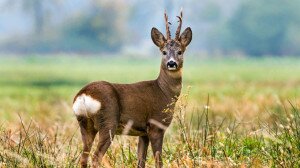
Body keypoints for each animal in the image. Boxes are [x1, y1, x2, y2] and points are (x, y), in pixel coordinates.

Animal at [73, 10, 192, 168]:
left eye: (180, 51)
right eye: (164, 52)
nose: (171, 63)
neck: (164, 91)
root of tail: (83, 95)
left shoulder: (143, 133)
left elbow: (141, 161)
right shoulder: (156, 125)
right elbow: (158, 161)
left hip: (85, 124)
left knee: (83, 158)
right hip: (108, 122)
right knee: (96, 157)